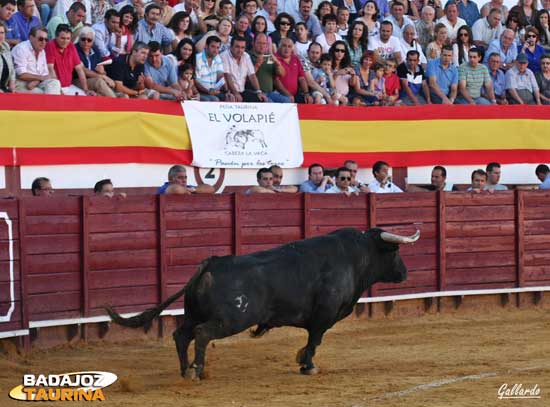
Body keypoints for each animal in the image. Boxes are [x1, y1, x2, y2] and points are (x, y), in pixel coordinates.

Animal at [105, 228, 420, 380]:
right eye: (395, 252)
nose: (405, 272)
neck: (356, 256)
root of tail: (211, 263)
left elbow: (311, 341)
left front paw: (300, 359)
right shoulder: (324, 314)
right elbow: (315, 340)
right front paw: (308, 365)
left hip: (193, 313)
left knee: (181, 334)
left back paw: (185, 370)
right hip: (231, 320)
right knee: (202, 334)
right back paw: (197, 371)